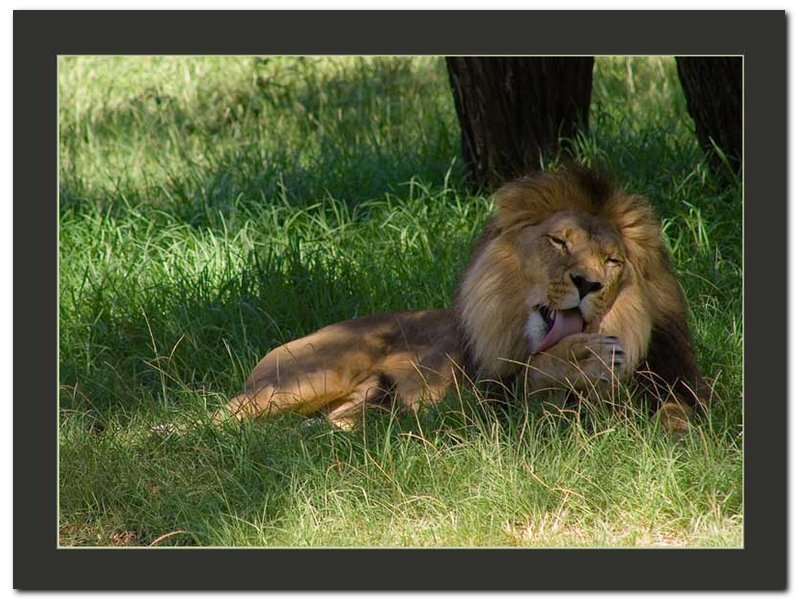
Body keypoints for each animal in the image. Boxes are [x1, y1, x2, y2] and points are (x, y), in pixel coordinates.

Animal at [216, 167, 707, 431]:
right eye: (559, 242)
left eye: (611, 261)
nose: (588, 284)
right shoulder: (474, 410)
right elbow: (527, 381)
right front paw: (580, 358)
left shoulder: (671, 382)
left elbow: (677, 412)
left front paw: (682, 438)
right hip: (308, 378)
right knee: (217, 418)